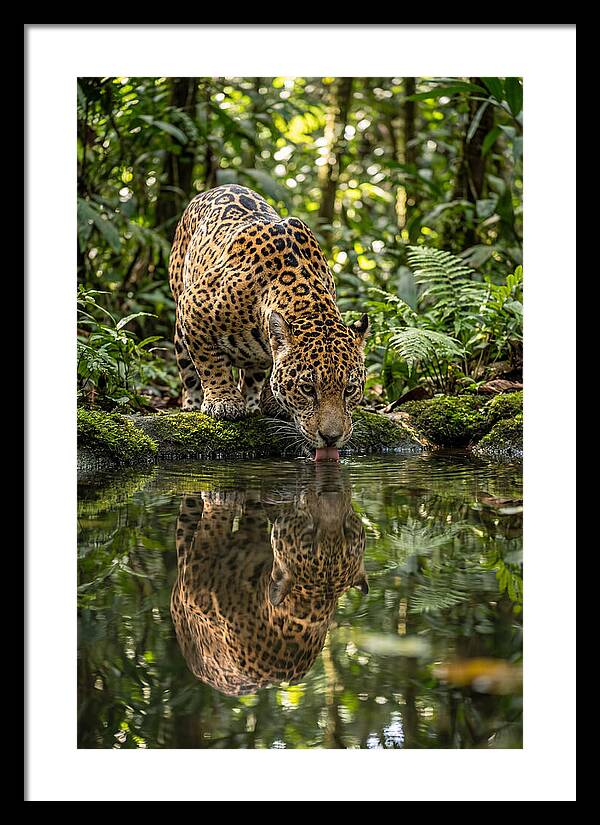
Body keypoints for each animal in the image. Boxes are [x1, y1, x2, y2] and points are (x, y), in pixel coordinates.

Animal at [168, 184, 369, 459]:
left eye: (349, 390)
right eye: (308, 389)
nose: (331, 438)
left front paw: (272, 402)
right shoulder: (192, 306)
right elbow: (210, 363)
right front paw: (224, 402)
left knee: (252, 373)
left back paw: (253, 402)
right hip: (180, 317)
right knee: (187, 369)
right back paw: (192, 403)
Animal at [169, 467, 368, 696]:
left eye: (348, 531)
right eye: (309, 535)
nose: (331, 493)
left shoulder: (195, 580)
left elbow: (215, 524)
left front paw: (222, 497)